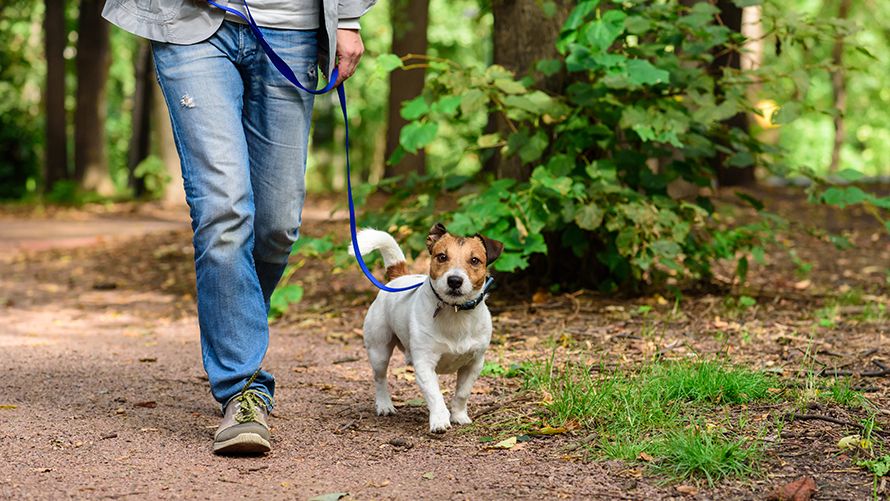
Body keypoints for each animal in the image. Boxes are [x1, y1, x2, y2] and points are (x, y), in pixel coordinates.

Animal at [346, 221, 500, 432]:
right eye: (442, 257)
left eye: (475, 260)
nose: (454, 280)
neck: (455, 312)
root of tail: (398, 277)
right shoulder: (425, 364)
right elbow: (435, 396)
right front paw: (439, 421)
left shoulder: (474, 364)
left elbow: (462, 393)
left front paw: (459, 416)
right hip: (379, 351)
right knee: (380, 379)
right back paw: (385, 405)